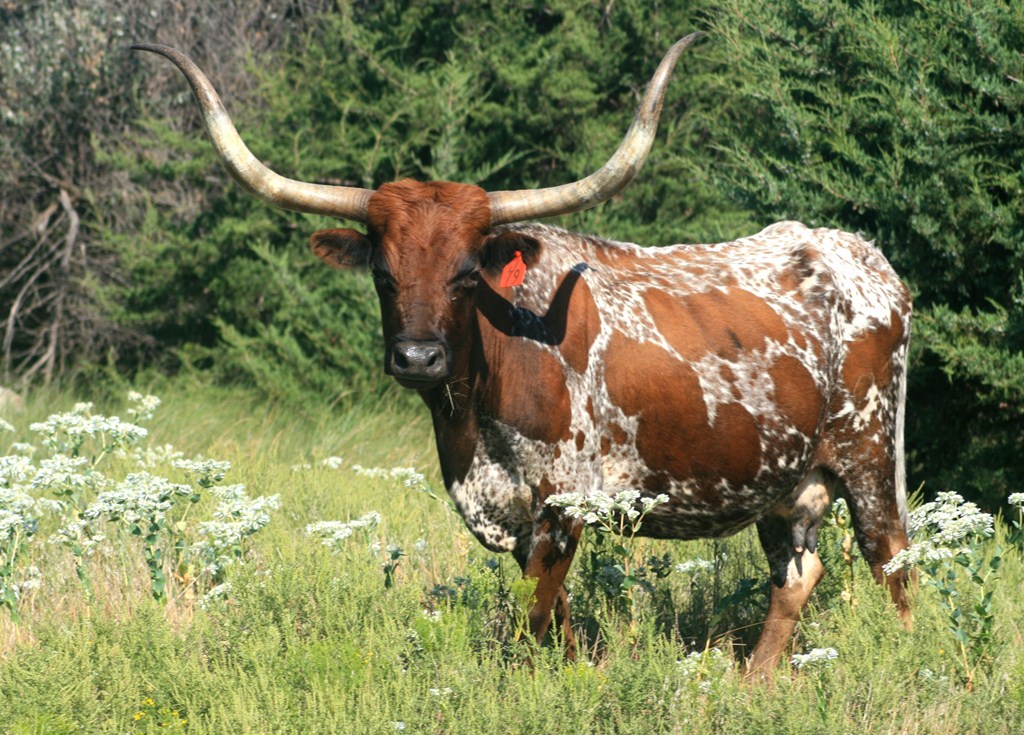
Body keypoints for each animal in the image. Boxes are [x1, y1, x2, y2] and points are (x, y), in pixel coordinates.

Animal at [134, 33, 912, 675]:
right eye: (383, 275)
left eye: (466, 274)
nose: (417, 358)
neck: (477, 411)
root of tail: (860, 255)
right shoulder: (507, 516)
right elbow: (555, 621)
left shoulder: (565, 506)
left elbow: (534, 619)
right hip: (786, 479)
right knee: (797, 575)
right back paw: (752, 683)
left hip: (870, 456)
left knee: (894, 564)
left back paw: (913, 661)